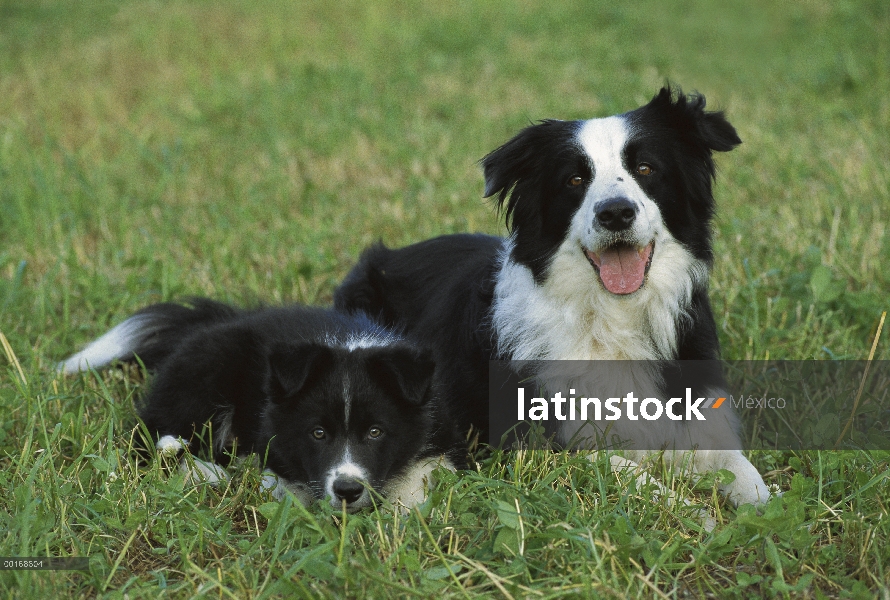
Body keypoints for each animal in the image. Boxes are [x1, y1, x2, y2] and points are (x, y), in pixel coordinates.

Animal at [59, 300, 464, 510]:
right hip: (207, 371)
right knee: (149, 434)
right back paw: (204, 470)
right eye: (318, 433)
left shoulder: (436, 425)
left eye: (376, 432)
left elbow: (428, 470)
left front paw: (405, 508)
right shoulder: (274, 436)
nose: (347, 491)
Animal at [336, 86, 772, 508]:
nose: (616, 213)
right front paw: (692, 511)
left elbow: (746, 475)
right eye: (574, 180)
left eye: (646, 169)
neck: (613, 318)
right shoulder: (544, 440)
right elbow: (630, 472)